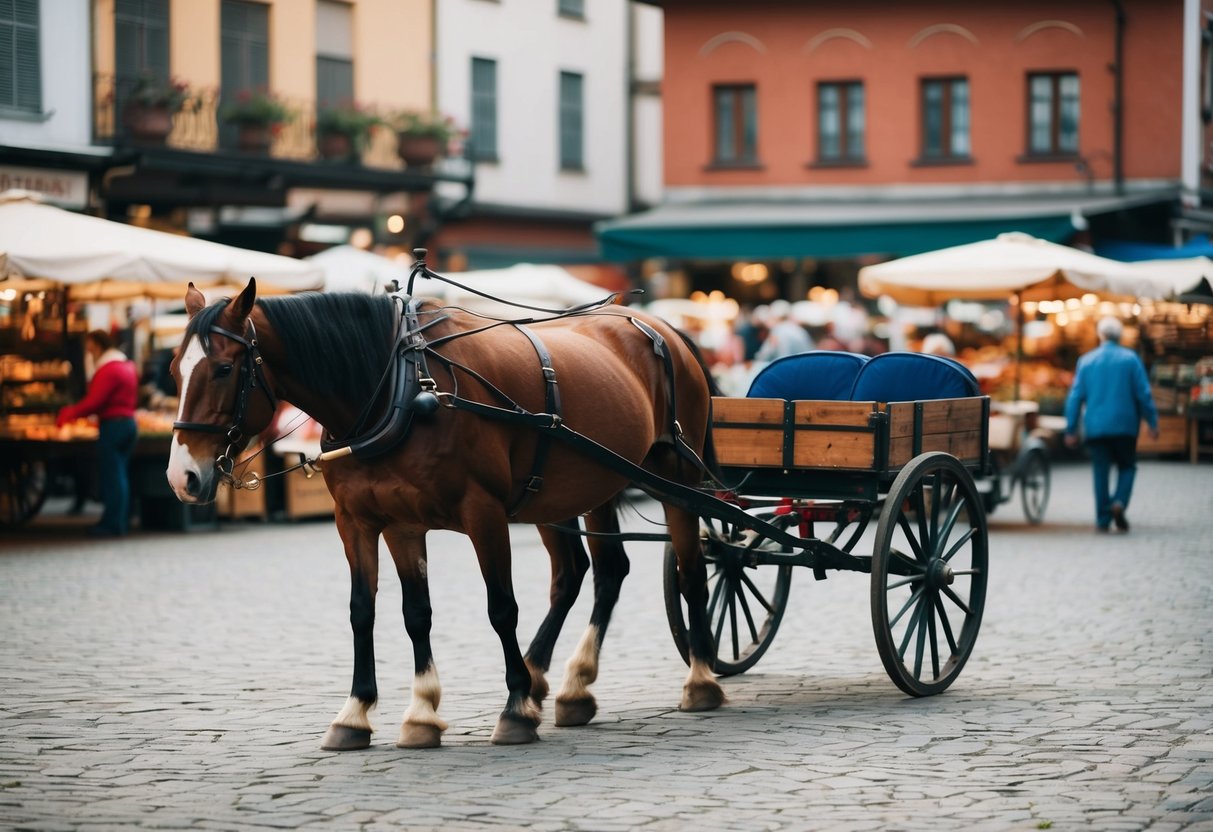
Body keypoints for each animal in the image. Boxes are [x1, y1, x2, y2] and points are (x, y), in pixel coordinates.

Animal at [167, 278, 722, 751]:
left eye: (223, 369)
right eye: (174, 369)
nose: (182, 477)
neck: (403, 388)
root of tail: (662, 329)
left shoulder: (483, 514)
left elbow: (501, 607)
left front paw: (514, 709)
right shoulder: (377, 523)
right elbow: (387, 612)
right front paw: (385, 713)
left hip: (676, 479)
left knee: (692, 571)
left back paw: (700, 678)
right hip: (578, 490)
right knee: (591, 573)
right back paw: (566, 683)